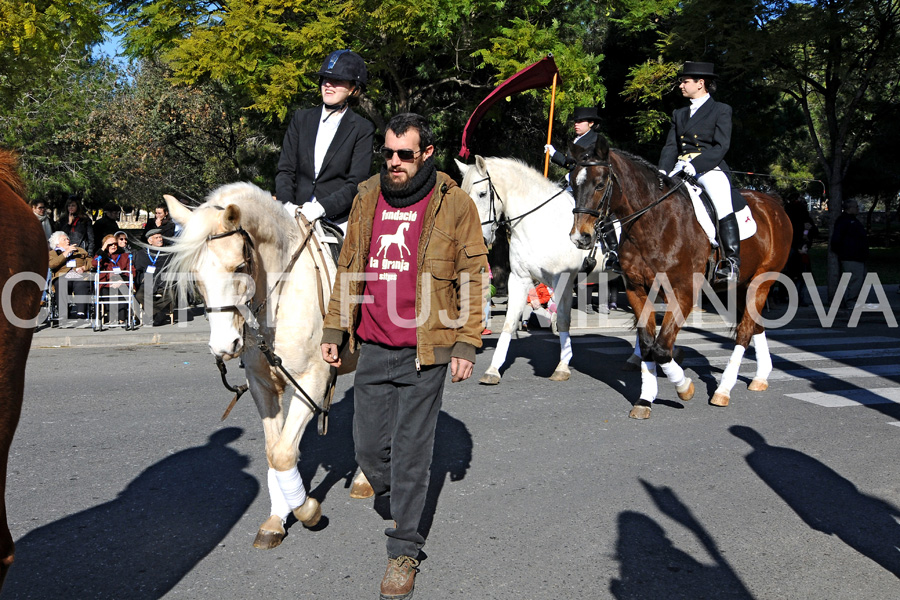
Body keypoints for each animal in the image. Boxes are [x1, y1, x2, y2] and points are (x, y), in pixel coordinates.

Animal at [163, 183, 370, 548]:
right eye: (196, 276)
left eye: (237, 267)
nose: (223, 346)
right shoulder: (262, 385)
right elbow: (274, 452)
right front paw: (278, 518)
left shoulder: (311, 381)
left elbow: (285, 453)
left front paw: (307, 510)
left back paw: (364, 479)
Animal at [460, 156, 600, 384]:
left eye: (482, 194)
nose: (478, 238)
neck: (541, 221)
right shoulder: (519, 279)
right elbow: (509, 321)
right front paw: (493, 369)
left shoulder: (563, 281)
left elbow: (563, 320)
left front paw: (563, 366)